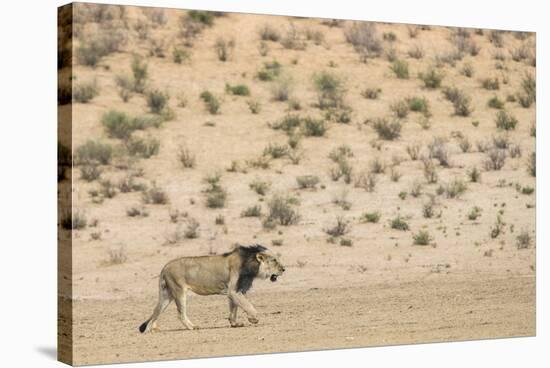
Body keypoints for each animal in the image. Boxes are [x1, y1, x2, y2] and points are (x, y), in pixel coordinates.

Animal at [138, 243, 286, 332]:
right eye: (274, 260)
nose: (284, 269)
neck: (250, 265)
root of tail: (165, 267)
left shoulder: (234, 291)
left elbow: (234, 308)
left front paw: (234, 324)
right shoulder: (234, 290)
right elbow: (248, 305)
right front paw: (253, 319)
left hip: (166, 294)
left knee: (156, 311)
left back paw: (150, 330)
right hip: (179, 291)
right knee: (180, 314)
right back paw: (193, 327)